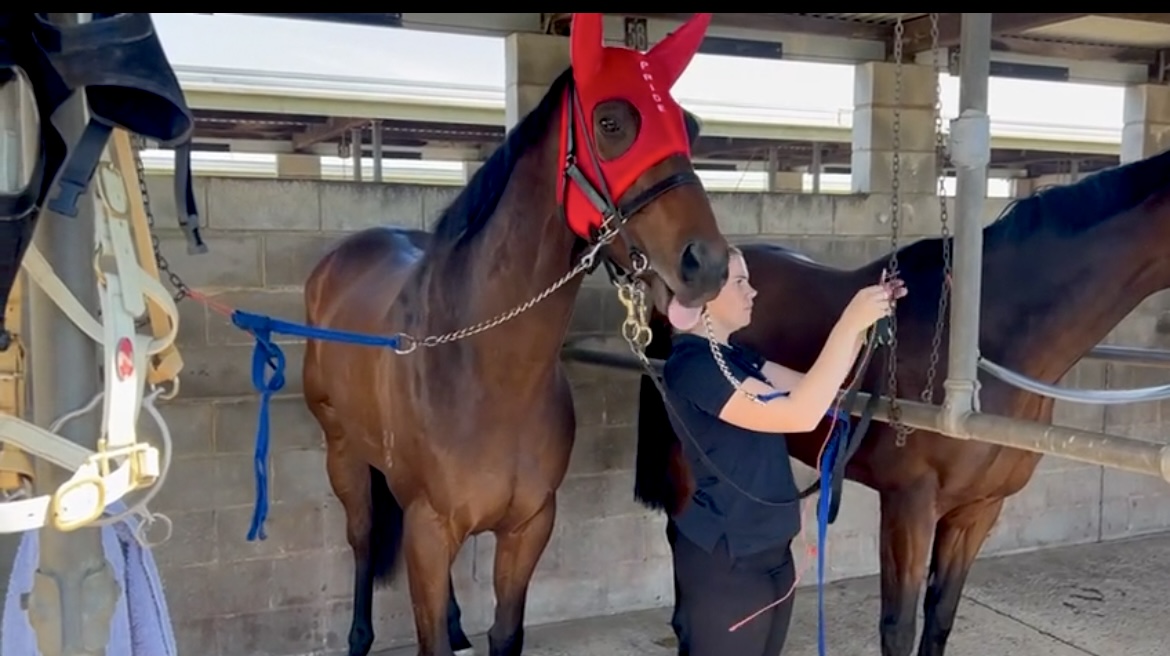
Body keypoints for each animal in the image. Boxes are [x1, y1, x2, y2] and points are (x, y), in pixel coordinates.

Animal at [299, 14, 730, 654]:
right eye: (610, 122)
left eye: (690, 127)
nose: (708, 264)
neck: (485, 370)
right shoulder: (428, 529)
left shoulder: (528, 527)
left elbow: (504, 632)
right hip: (344, 456)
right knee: (361, 538)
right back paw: (358, 635)